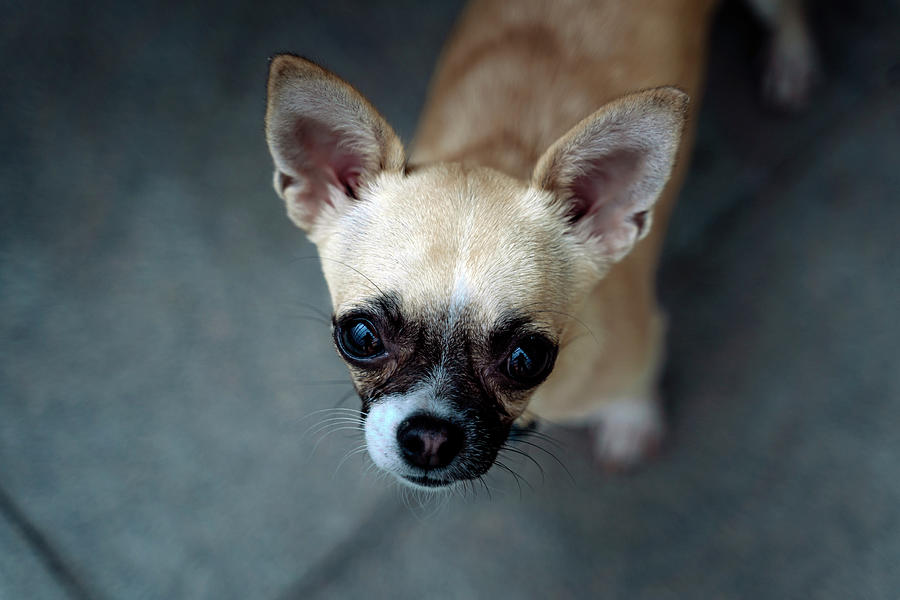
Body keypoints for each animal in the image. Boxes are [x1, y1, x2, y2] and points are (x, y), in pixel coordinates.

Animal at [264, 0, 820, 488]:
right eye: (360, 337)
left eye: (528, 358)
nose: (429, 437)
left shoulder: (642, 346)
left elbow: (637, 388)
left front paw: (632, 422)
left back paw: (791, 63)